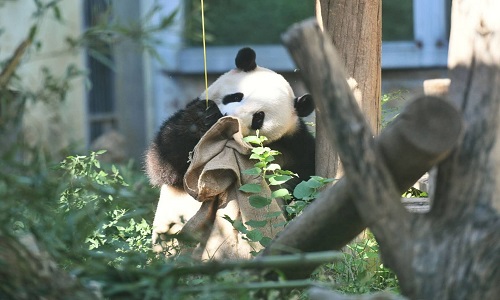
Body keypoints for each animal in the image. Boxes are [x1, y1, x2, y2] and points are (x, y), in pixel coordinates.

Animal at [146, 47, 314, 248]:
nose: (226, 116)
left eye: (258, 117)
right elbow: (163, 166)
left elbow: (304, 186)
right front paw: (202, 119)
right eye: (236, 96)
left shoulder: (296, 147)